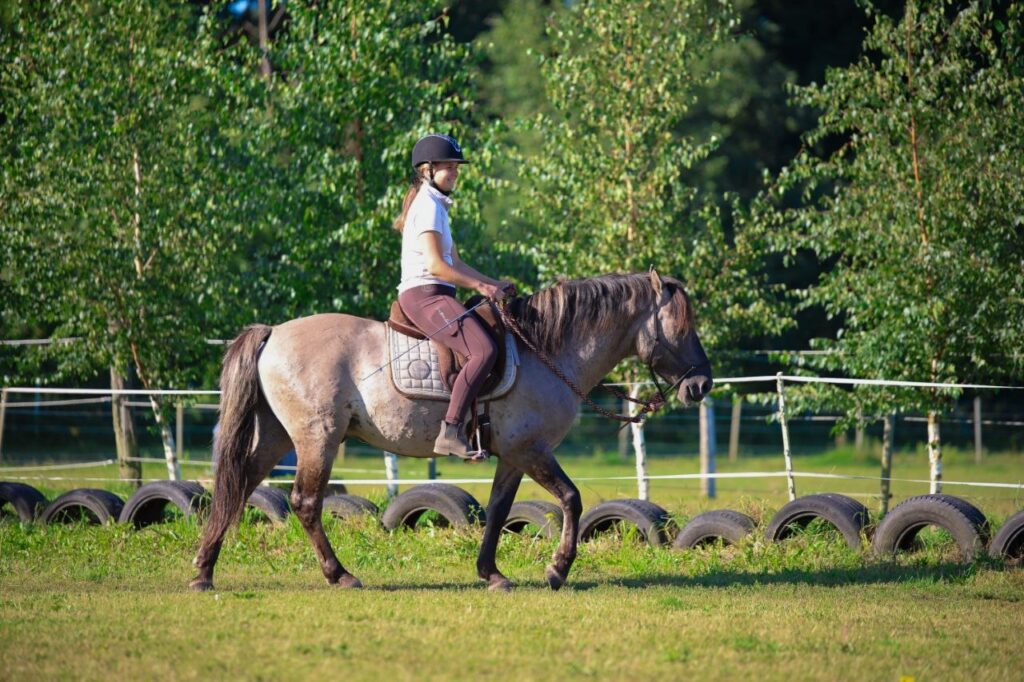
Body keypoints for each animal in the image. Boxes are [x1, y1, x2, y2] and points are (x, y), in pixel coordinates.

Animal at [190, 270, 713, 592]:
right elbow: (571, 498)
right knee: (303, 502)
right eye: (682, 327)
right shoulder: (531, 449)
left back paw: (203, 570)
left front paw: (491, 573)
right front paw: (557, 569)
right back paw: (339, 575)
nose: (702, 384)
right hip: (318, 438)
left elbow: (499, 510)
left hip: (279, 436)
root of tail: (274, 332)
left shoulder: (512, 456)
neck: (546, 351)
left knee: (236, 488)